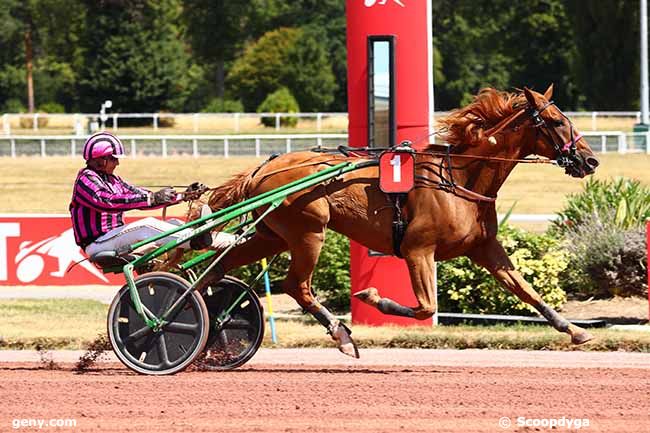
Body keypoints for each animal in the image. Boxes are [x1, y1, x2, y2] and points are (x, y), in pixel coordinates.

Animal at [205, 86, 596, 356]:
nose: (590, 161)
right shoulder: (417, 249)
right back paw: (341, 335)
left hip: (273, 235)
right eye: (557, 122)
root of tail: (262, 169)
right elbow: (426, 307)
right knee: (297, 285)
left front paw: (574, 329)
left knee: (220, 267)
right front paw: (373, 296)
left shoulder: (484, 247)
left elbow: (525, 289)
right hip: (307, 232)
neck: (459, 178)